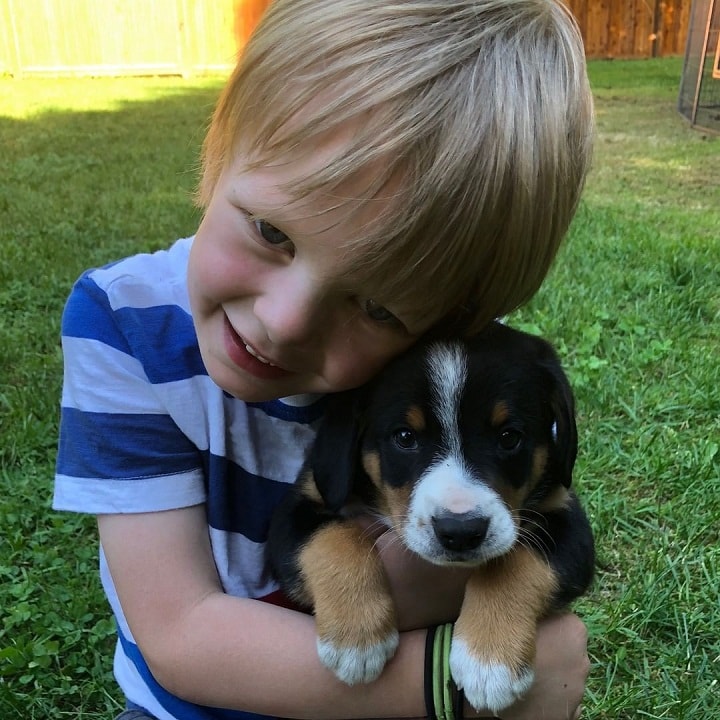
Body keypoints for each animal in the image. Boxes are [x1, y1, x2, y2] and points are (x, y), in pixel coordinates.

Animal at [268, 322, 592, 716]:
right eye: (405, 437)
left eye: (509, 437)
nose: (461, 531)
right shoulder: (296, 510)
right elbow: (332, 538)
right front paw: (356, 640)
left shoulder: (566, 517)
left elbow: (518, 562)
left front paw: (489, 661)